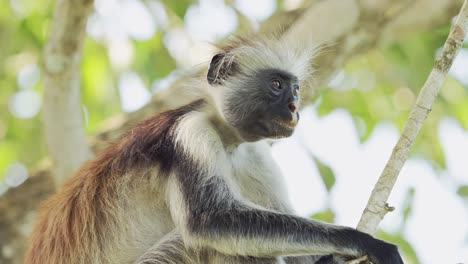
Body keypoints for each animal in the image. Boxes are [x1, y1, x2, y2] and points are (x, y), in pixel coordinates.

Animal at [25, 37, 404, 264]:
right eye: (276, 85)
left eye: (295, 88)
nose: (294, 108)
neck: (227, 138)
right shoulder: (191, 133)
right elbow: (209, 222)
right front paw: (362, 241)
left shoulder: (255, 155)